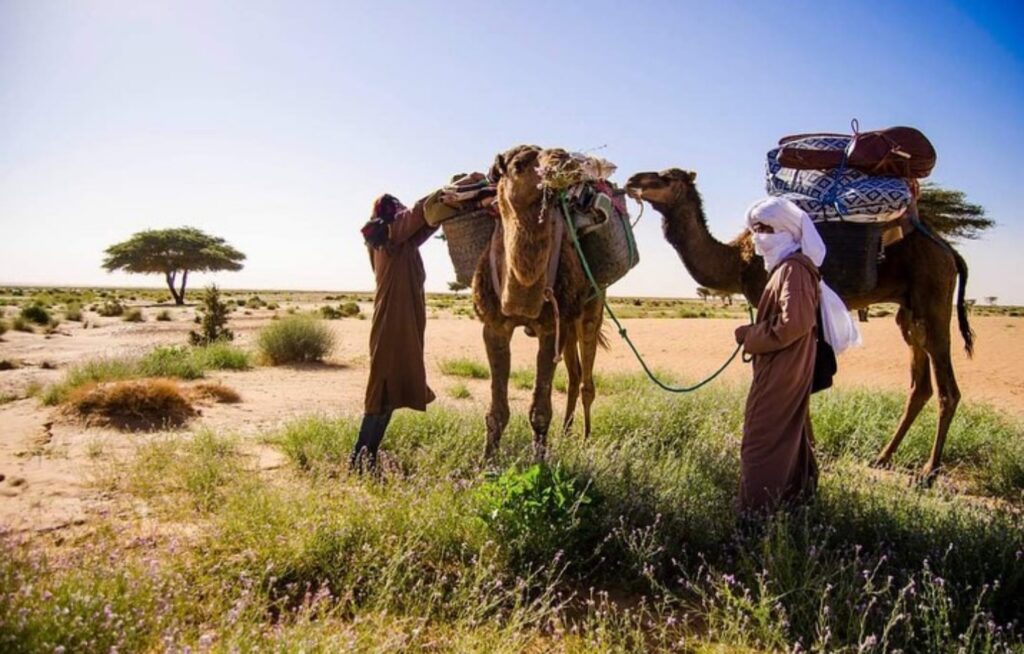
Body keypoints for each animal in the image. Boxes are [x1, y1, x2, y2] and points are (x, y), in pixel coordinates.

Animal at [473, 145, 606, 461]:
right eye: (519, 164)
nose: (562, 158)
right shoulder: (494, 326)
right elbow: (497, 409)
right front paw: (486, 461)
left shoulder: (549, 328)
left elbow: (541, 409)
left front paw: (541, 461)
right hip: (568, 325)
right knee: (574, 375)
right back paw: (567, 433)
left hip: (591, 309)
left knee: (586, 381)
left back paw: (585, 439)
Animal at [625, 168, 974, 483]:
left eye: (667, 177)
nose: (632, 181)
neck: (736, 262)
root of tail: (949, 251)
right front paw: (811, 449)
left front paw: (806, 452)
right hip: (909, 310)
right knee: (920, 383)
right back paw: (883, 457)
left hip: (933, 294)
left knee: (947, 388)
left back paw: (929, 471)